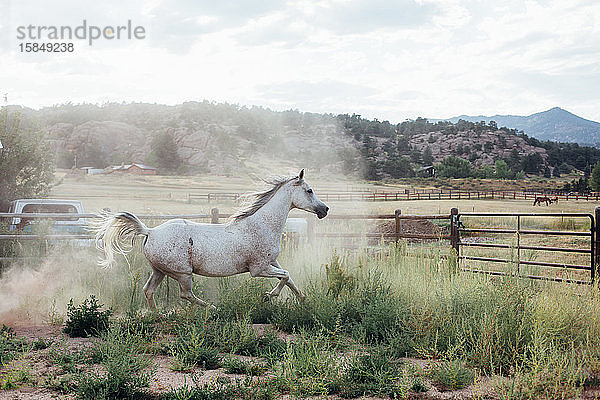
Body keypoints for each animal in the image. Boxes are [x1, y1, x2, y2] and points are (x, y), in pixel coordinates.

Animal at [90, 169, 328, 310]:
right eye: (309, 190)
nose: (325, 209)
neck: (262, 225)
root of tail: (150, 231)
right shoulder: (259, 268)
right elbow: (285, 276)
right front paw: (268, 296)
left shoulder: (272, 262)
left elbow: (289, 278)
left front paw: (303, 299)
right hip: (182, 273)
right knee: (186, 294)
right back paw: (213, 309)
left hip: (159, 271)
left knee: (148, 291)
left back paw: (157, 315)